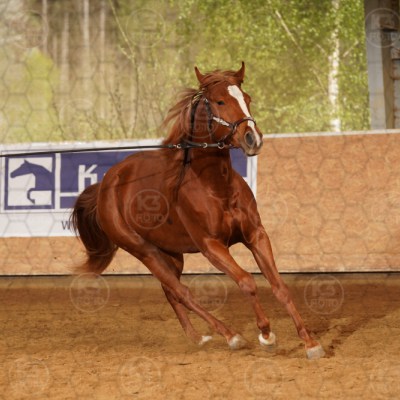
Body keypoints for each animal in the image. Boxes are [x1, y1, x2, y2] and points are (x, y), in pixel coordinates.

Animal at [71, 62, 325, 359]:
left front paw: (310, 342)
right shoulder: (211, 246)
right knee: (182, 292)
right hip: (143, 251)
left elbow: (279, 286)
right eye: (220, 101)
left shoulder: (256, 235)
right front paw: (265, 334)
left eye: (247, 98)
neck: (214, 186)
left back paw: (197, 337)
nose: (253, 138)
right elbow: (246, 282)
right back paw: (230, 336)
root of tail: (106, 185)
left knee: (170, 292)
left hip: (171, 253)